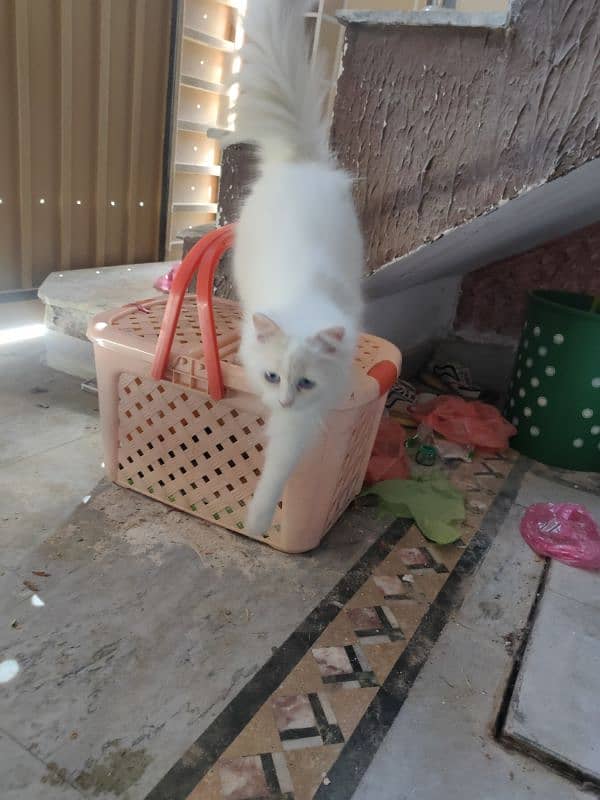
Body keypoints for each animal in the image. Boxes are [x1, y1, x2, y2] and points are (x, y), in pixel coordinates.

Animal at [227, 1, 364, 536]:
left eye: (304, 384)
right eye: (270, 378)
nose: (282, 401)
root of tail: (300, 163)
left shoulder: (305, 417)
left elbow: (278, 470)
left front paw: (257, 521)